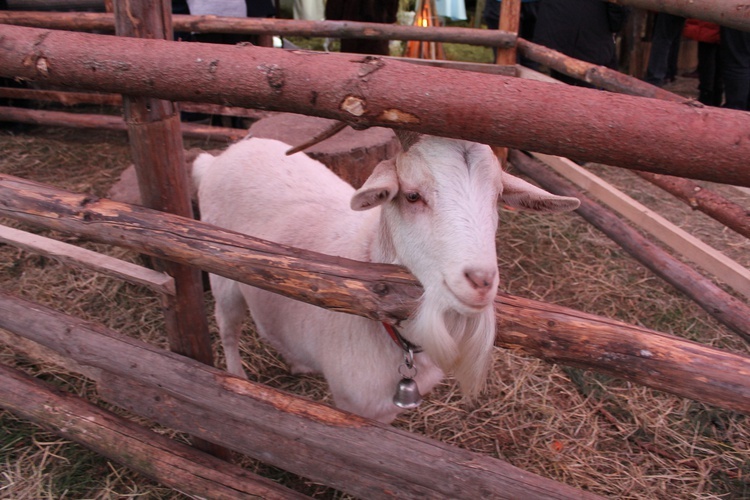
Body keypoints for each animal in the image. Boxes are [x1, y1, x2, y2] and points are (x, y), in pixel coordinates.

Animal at [194, 133, 580, 422]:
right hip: (224, 272)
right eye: (412, 195)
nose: (481, 281)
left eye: (498, 197)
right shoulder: (354, 405)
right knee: (227, 328)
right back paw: (237, 377)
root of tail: (217, 158)